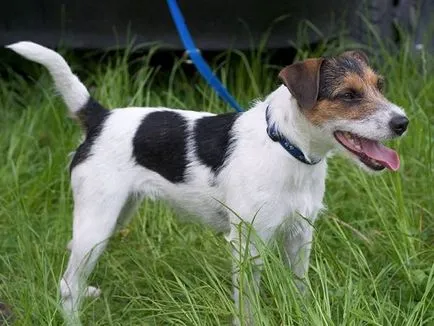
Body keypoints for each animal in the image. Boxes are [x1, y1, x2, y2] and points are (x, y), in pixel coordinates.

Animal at [5, 41, 406, 324]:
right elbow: (246, 306)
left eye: (380, 86)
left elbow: (299, 287)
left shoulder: (299, 236)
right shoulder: (247, 244)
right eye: (348, 95)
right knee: (67, 285)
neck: (285, 146)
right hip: (98, 223)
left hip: (113, 215)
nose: (403, 122)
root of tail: (100, 118)